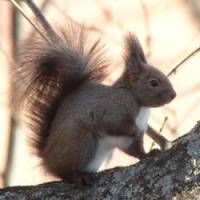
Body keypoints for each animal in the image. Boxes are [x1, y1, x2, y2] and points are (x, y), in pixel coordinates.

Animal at [13, 0, 175, 186]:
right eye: (153, 83)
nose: (173, 95)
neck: (138, 103)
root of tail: (47, 159)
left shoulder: (132, 140)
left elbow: (136, 150)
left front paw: (148, 154)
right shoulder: (113, 110)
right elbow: (114, 124)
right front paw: (133, 130)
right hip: (81, 141)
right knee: (63, 172)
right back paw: (77, 176)